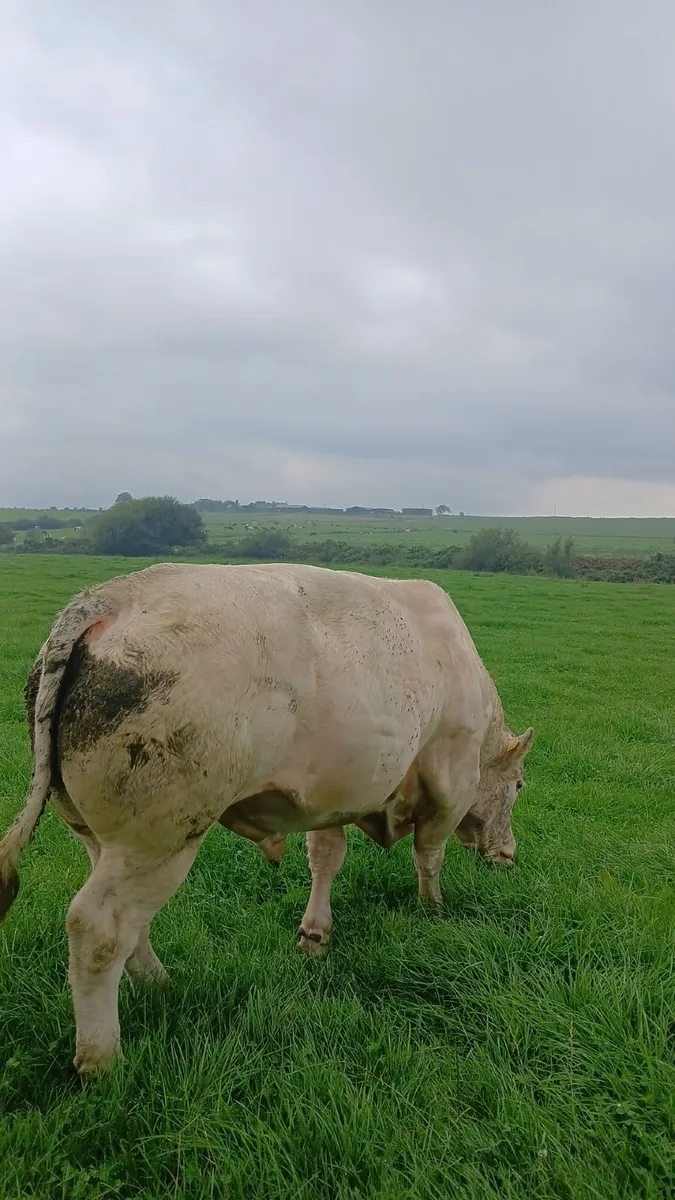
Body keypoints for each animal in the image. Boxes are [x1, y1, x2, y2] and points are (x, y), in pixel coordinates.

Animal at [0, 562, 533, 1074]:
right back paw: (101, 1058)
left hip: (100, 837)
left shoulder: (329, 794)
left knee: (133, 926)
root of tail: (106, 599)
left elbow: (326, 857)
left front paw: (315, 934)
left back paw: (160, 986)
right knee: (99, 928)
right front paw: (432, 908)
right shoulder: (450, 781)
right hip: (157, 839)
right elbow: (429, 853)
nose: (508, 854)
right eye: (520, 786)